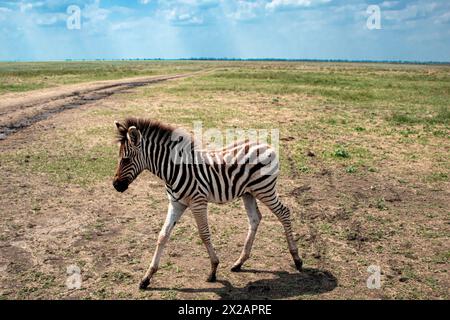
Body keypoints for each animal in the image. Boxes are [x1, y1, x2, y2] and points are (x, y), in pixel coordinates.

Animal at [112, 117, 302, 290]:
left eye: (126, 159)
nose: (115, 186)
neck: (174, 170)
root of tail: (266, 145)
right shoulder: (176, 203)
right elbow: (162, 235)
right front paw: (147, 277)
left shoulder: (198, 202)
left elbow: (204, 234)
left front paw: (213, 270)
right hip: (248, 193)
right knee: (255, 219)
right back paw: (239, 262)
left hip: (265, 189)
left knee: (284, 213)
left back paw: (297, 259)